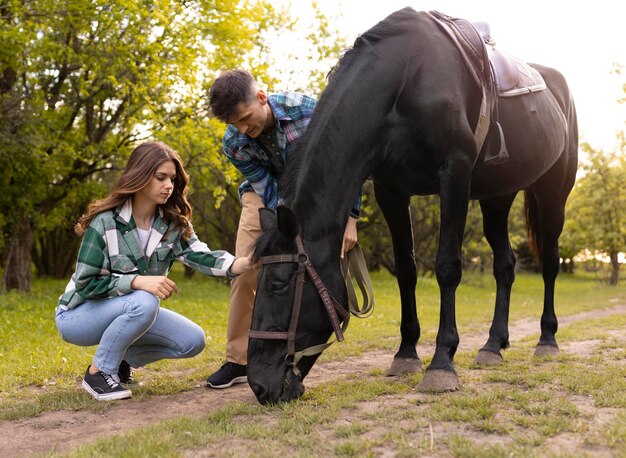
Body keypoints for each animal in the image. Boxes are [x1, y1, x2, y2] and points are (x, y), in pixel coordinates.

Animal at [244, 7, 576, 404]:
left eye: (278, 285)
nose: (258, 384)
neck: (404, 81)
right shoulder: (390, 190)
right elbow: (406, 270)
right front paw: (406, 354)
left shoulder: (454, 175)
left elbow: (447, 267)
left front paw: (441, 362)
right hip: (497, 197)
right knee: (505, 266)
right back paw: (493, 345)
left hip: (553, 192)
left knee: (550, 263)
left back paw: (547, 339)